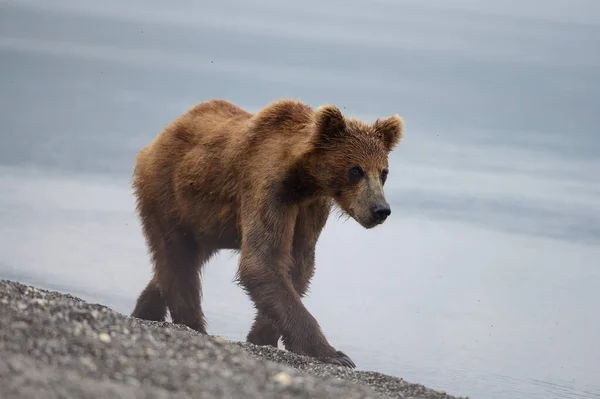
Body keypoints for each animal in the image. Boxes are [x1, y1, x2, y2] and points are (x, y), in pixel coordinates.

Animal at [131, 97, 404, 368]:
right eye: (356, 169)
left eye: (383, 172)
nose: (380, 209)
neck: (303, 181)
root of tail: (160, 137)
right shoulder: (266, 188)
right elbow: (262, 262)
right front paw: (334, 354)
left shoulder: (310, 209)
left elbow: (297, 265)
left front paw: (262, 337)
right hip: (169, 194)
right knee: (177, 258)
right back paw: (192, 324)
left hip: (207, 222)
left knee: (181, 262)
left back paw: (147, 312)